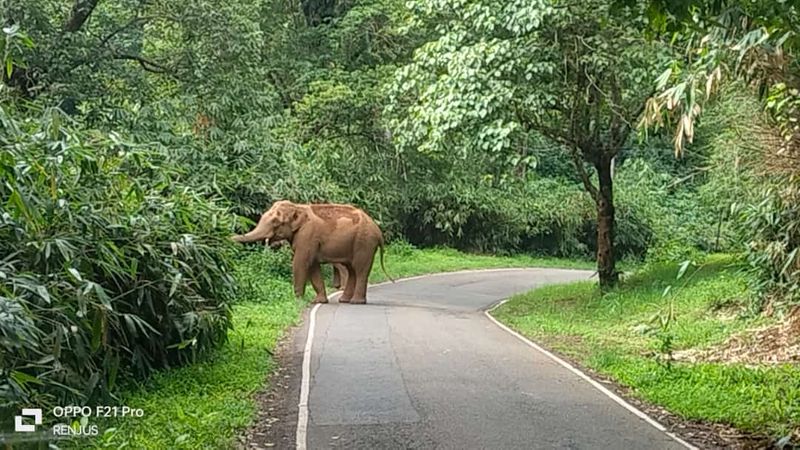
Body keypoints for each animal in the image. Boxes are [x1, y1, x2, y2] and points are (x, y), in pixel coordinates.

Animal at [231, 202, 394, 304]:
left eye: (276, 222)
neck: (298, 207)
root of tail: (378, 231)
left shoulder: (307, 235)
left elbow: (300, 263)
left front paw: (297, 300)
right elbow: (313, 267)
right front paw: (318, 301)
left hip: (364, 244)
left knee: (360, 270)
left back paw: (356, 302)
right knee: (352, 270)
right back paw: (344, 300)